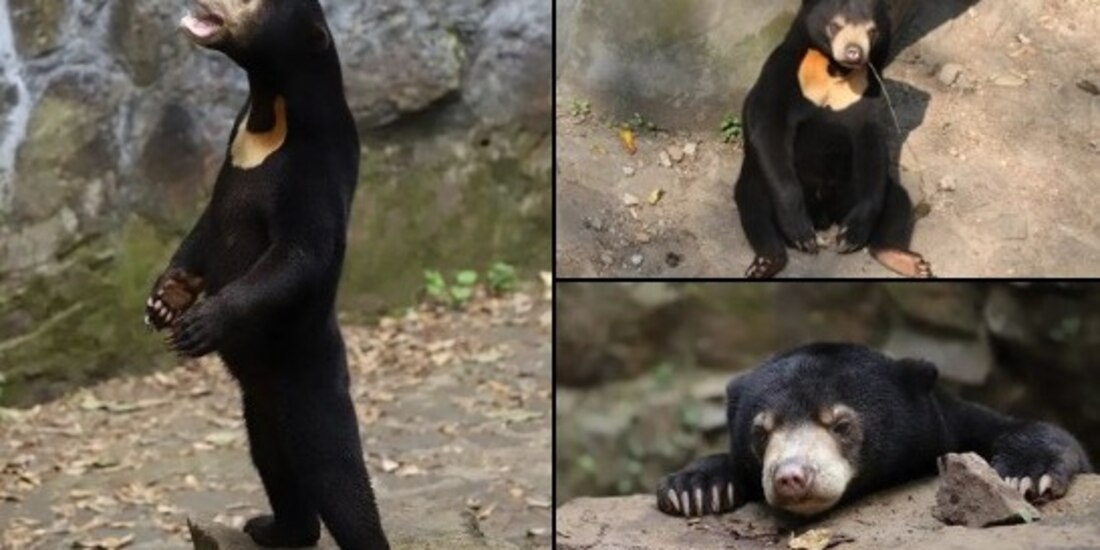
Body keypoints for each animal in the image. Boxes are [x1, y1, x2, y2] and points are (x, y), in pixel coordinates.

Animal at [144, 1, 390, 548]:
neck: (269, 109)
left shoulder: (312, 167)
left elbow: (299, 253)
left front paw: (199, 326)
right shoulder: (230, 155)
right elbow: (205, 228)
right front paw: (164, 300)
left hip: (306, 377)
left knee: (337, 475)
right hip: (259, 405)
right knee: (273, 461)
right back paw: (273, 528)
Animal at [655, 343, 1092, 517]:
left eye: (841, 424)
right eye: (761, 432)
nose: (791, 478)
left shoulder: (951, 425)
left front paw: (1026, 476)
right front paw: (694, 490)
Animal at [733, 0, 932, 279]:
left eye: (872, 31)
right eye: (836, 25)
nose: (854, 53)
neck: (834, 69)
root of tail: (825, 216)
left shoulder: (868, 87)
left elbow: (872, 142)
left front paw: (850, 236)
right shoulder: (782, 72)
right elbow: (768, 127)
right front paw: (801, 233)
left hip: (851, 188)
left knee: (896, 200)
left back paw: (906, 260)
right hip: (761, 179)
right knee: (752, 200)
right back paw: (767, 261)